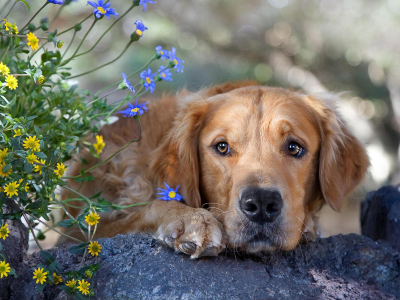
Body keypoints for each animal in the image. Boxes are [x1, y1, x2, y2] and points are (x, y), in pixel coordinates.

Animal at [62, 81, 368, 258]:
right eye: (222, 147)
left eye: (294, 148)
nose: (261, 204)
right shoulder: (84, 230)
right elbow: (148, 208)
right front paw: (190, 220)